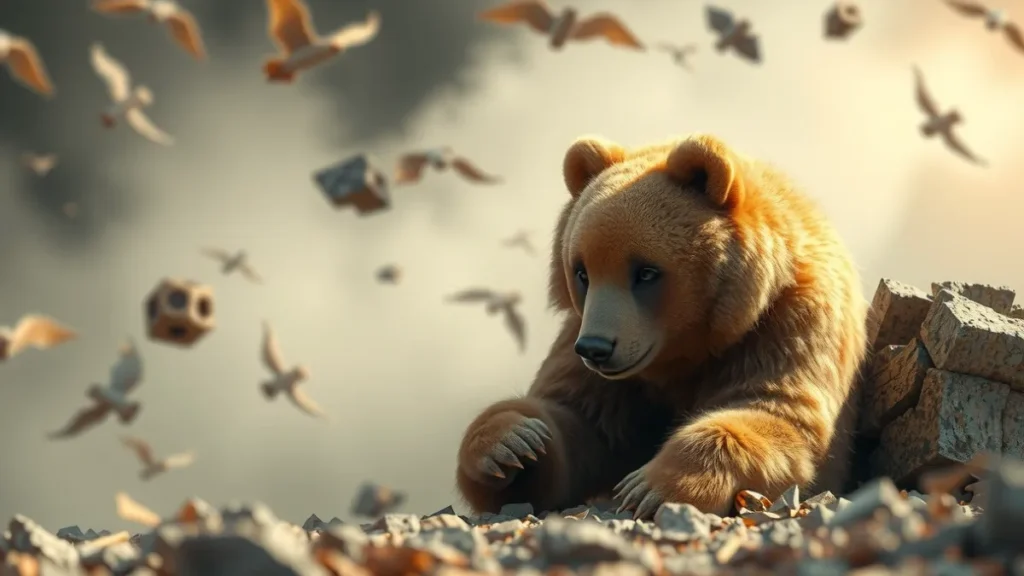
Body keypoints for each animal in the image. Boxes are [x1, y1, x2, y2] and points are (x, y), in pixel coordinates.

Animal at [454, 133, 869, 519]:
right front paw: (512, 442)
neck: (686, 351)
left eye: (646, 271)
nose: (596, 348)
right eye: (582, 271)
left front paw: (648, 487)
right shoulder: (593, 351)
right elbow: (579, 422)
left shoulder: (787, 325)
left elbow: (775, 413)